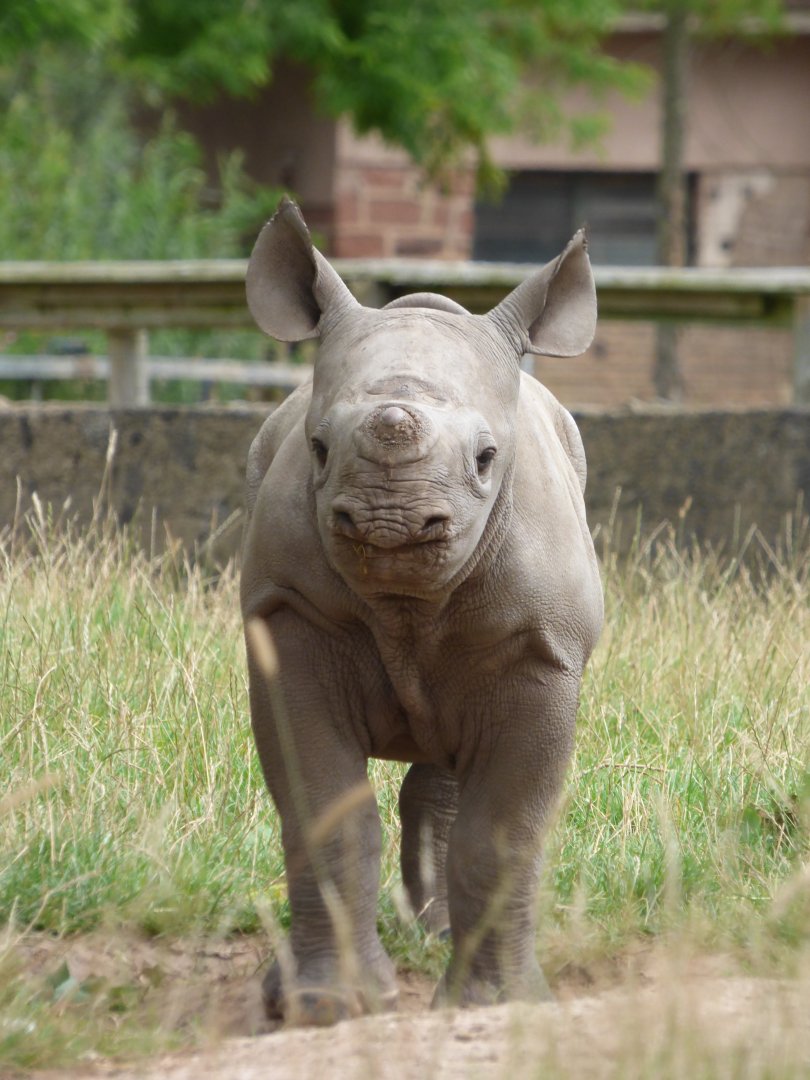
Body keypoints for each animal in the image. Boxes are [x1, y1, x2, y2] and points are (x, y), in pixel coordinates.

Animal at [241, 198, 603, 1024]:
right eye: (318, 448)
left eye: (486, 458)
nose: (392, 524)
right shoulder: (289, 615)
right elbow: (324, 813)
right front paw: (325, 1005)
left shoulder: (542, 647)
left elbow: (502, 835)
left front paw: (497, 1005)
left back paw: (435, 934)